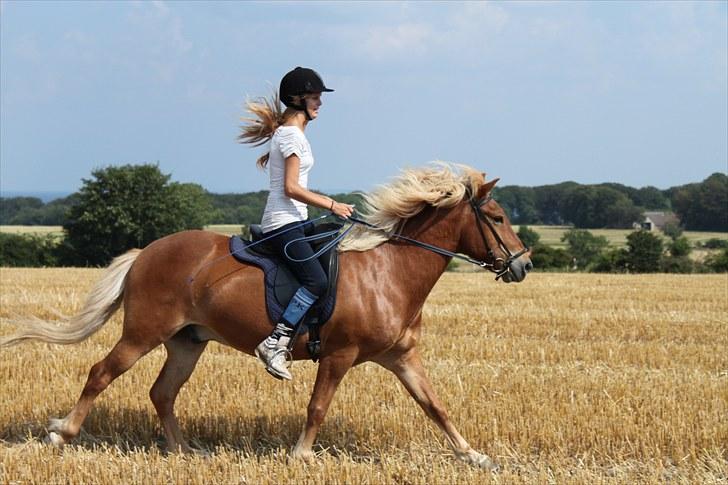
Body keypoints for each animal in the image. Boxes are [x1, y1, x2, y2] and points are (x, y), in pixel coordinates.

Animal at [2, 164, 532, 468]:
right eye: (498, 218)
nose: (523, 265)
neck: (391, 273)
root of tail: (146, 253)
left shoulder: (402, 358)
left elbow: (435, 406)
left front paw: (475, 456)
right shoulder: (338, 355)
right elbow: (318, 407)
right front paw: (300, 456)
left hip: (187, 341)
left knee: (162, 392)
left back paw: (184, 450)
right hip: (144, 332)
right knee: (101, 373)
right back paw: (62, 434)